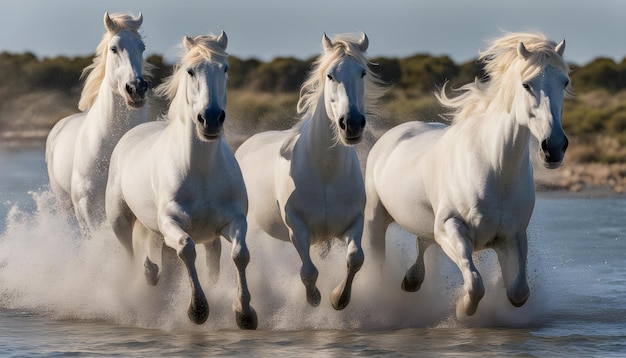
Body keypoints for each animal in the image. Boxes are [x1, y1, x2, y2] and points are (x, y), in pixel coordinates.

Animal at [105, 33, 256, 330]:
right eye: (190, 71)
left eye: (225, 69)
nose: (211, 119)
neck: (201, 170)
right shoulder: (172, 223)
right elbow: (186, 250)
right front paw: (198, 310)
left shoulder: (232, 220)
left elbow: (240, 254)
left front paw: (244, 313)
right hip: (122, 221)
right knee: (133, 256)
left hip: (201, 238)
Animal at [234, 32, 382, 310]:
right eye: (330, 75)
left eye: (362, 73)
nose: (352, 124)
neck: (325, 173)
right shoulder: (297, 228)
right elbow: (309, 271)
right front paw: (314, 298)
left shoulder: (352, 223)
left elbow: (356, 258)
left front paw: (339, 298)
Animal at [364, 32, 572, 318]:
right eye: (527, 84)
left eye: (565, 82)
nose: (553, 147)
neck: (494, 168)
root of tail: (390, 136)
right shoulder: (451, 228)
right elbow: (474, 284)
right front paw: (462, 310)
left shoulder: (512, 237)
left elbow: (518, 292)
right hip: (376, 217)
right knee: (378, 261)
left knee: (423, 242)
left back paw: (411, 280)